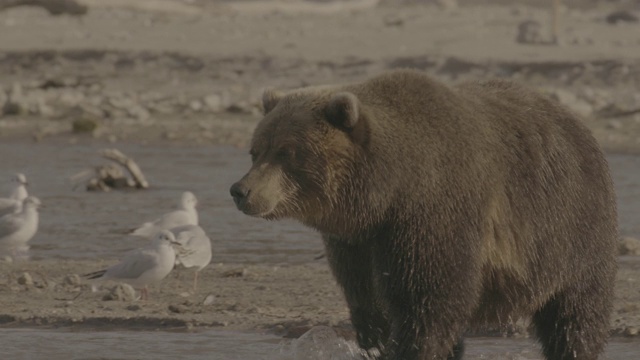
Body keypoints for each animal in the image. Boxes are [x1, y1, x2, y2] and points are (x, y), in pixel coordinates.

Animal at [229, 69, 616, 358]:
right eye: (256, 150)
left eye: (287, 152)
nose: (240, 190)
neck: (385, 191)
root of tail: (576, 123)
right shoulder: (357, 240)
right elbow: (368, 296)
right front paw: (375, 340)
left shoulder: (432, 213)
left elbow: (428, 302)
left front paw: (411, 348)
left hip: (568, 228)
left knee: (574, 313)